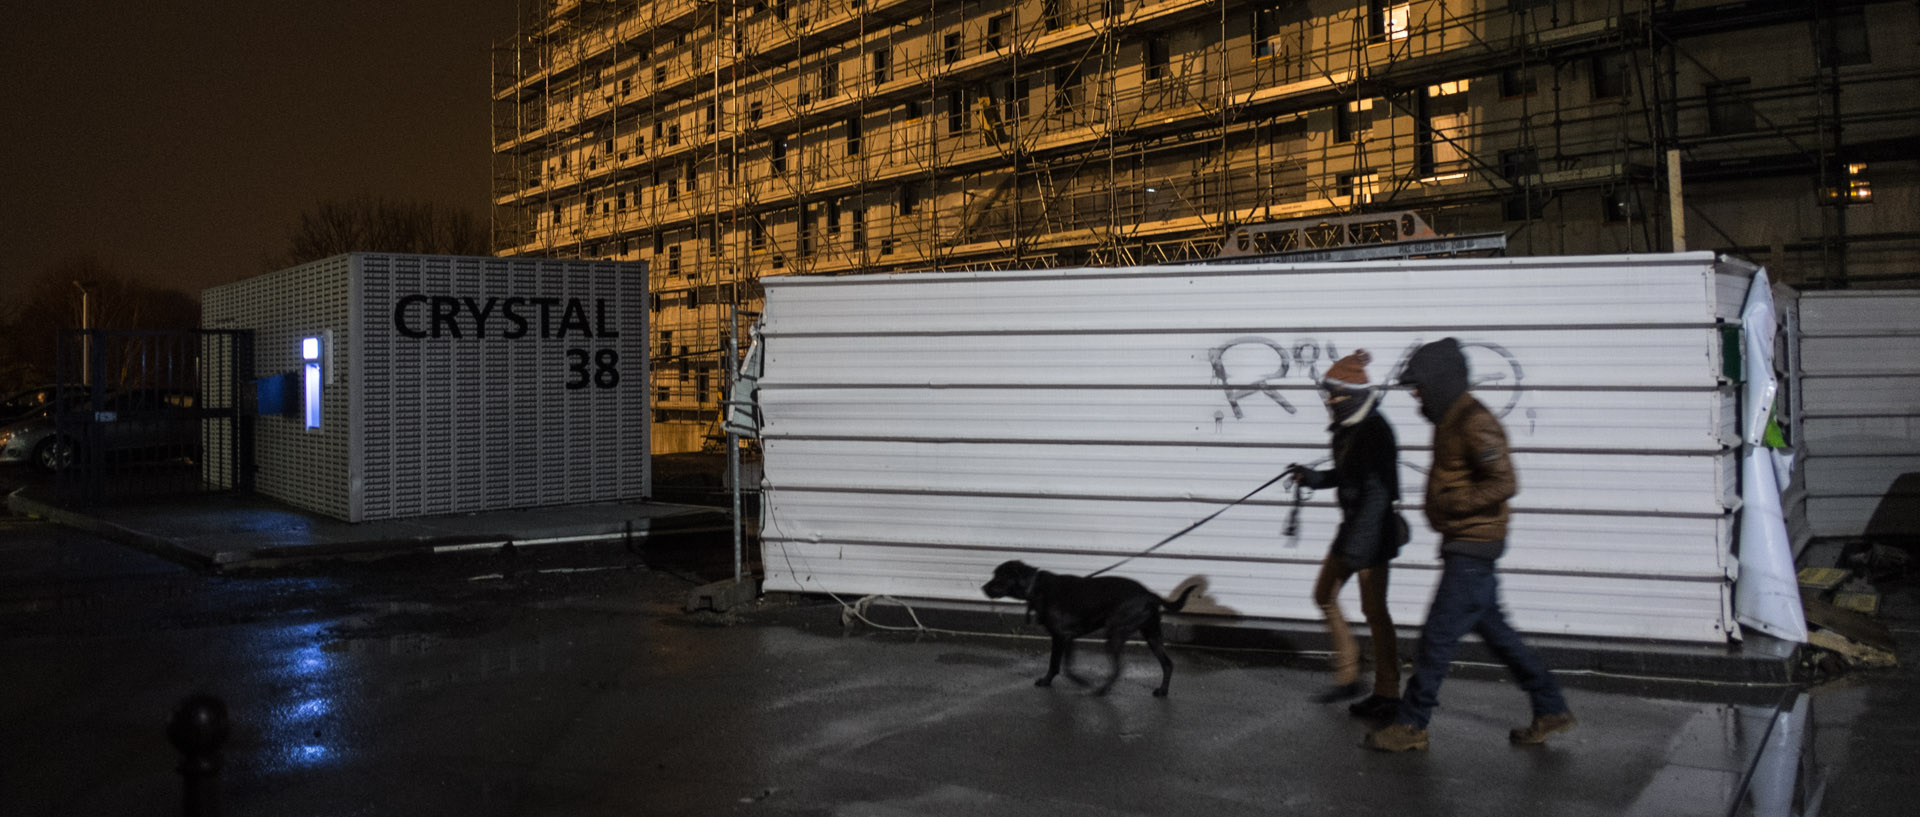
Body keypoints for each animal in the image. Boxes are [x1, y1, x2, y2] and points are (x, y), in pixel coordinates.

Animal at [983, 560, 1190, 694]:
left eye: (999, 576)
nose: (982, 588)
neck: (1035, 587)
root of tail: (1149, 594)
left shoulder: (1061, 636)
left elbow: (1059, 665)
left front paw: (1067, 681)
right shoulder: (1069, 638)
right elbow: (1063, 665)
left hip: (1115, 634)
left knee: (1119, 668)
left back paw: (1102, 690)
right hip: (1152, 635)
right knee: (1167, 664)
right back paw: (1163, 691)